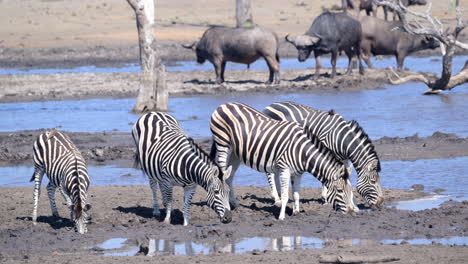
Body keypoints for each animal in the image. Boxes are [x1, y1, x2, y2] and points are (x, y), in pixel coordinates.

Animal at [210, 102, 356, 220]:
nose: (350, 212)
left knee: (229, 177)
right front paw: (281, 216)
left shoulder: (298, 173)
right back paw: (227, 206)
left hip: (235, 153)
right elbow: (285, 195)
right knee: (223, 175)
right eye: (340, 191)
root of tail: (224, 104)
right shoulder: (284, 169)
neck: (302, 151)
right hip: (223, 144)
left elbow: (296, 194)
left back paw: (235, 204)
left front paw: (296, 212)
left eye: (351, 190)